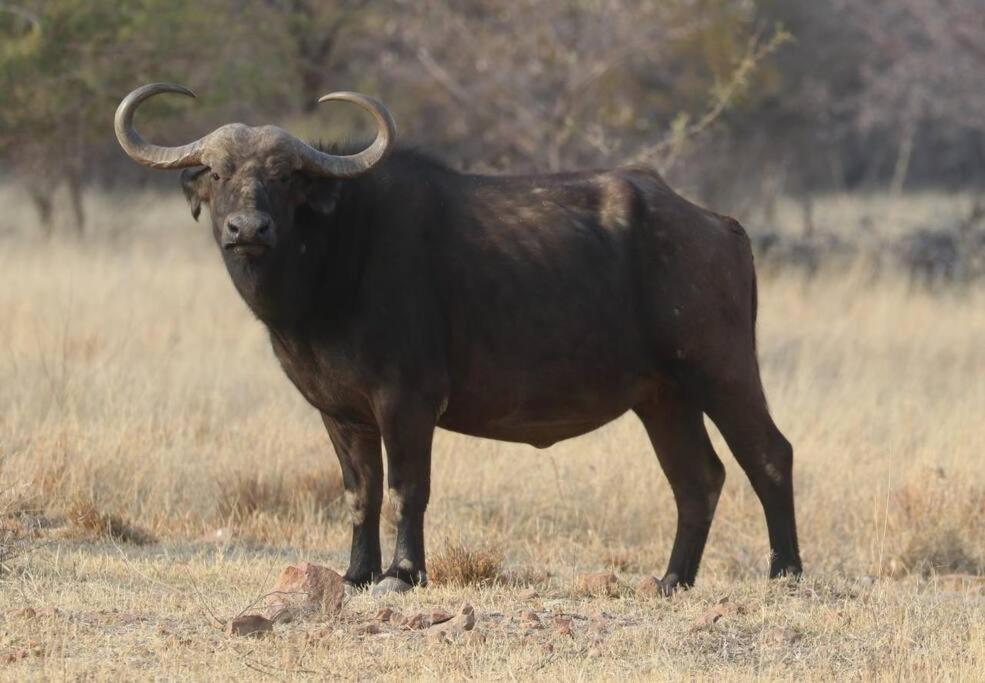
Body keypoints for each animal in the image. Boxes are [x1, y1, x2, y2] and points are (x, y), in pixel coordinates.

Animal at [113, 83, 800, 596]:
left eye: (284, 177)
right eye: (218, 173)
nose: (247, 228)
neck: (334, 260)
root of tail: (719, 225)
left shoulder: (407, 401)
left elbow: (405, 488)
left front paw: (402, 573)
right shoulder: (340, 412)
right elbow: (360, 492)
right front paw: (356, 573)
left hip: (723, 370)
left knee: (769, 455)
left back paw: (784, 572)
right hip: (663, 397)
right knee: (698, 478)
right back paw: (671, 580)